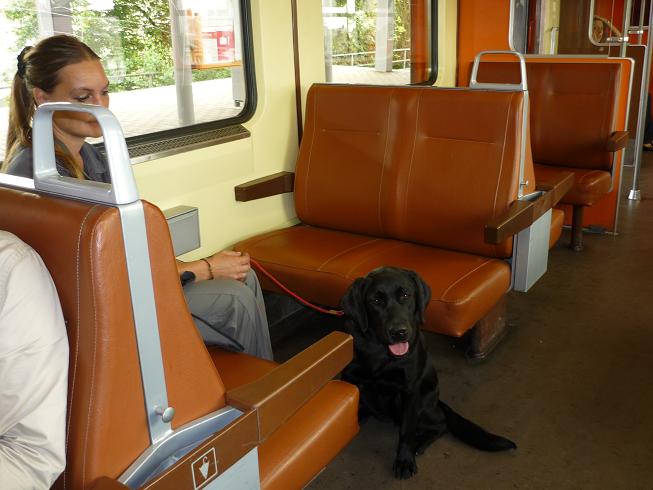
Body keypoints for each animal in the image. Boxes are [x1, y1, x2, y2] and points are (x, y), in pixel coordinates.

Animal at [342, 268, 516, 478]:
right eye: (376, 300)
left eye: (406, 295)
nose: (399, 332)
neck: (380, 351)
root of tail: (437, 402)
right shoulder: (350, 379)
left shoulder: (409, 391)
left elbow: (406, 430)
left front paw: (404, 460)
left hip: (420, 405)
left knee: (442, 424)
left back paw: (420, 444)